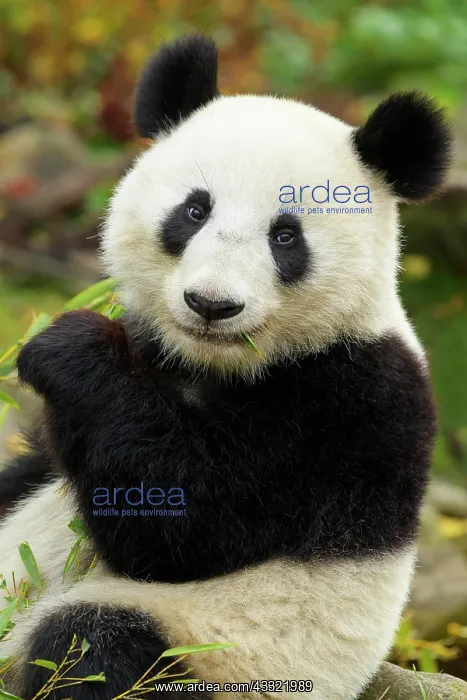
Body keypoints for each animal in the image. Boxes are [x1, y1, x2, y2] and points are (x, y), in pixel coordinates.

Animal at [0, 33, 451, 700]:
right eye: (194, 211)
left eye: (286, 236)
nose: (212, 304)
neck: (210, 362)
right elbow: (38, 468)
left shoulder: (350, 400)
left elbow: (187, 524)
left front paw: (67, 346)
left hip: (222, 653)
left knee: (93, 647)